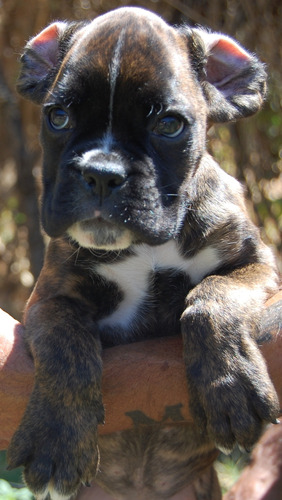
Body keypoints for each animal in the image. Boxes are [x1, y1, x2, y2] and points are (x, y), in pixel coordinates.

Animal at [7, 7, 278, 500]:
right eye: (58, 116)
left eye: (168, 125)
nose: (101, 172)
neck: (147, 245)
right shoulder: (50, 297)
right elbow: (64, 345)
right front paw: (56, 441)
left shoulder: (256, 264)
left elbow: (213, 298)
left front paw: (231, 388)